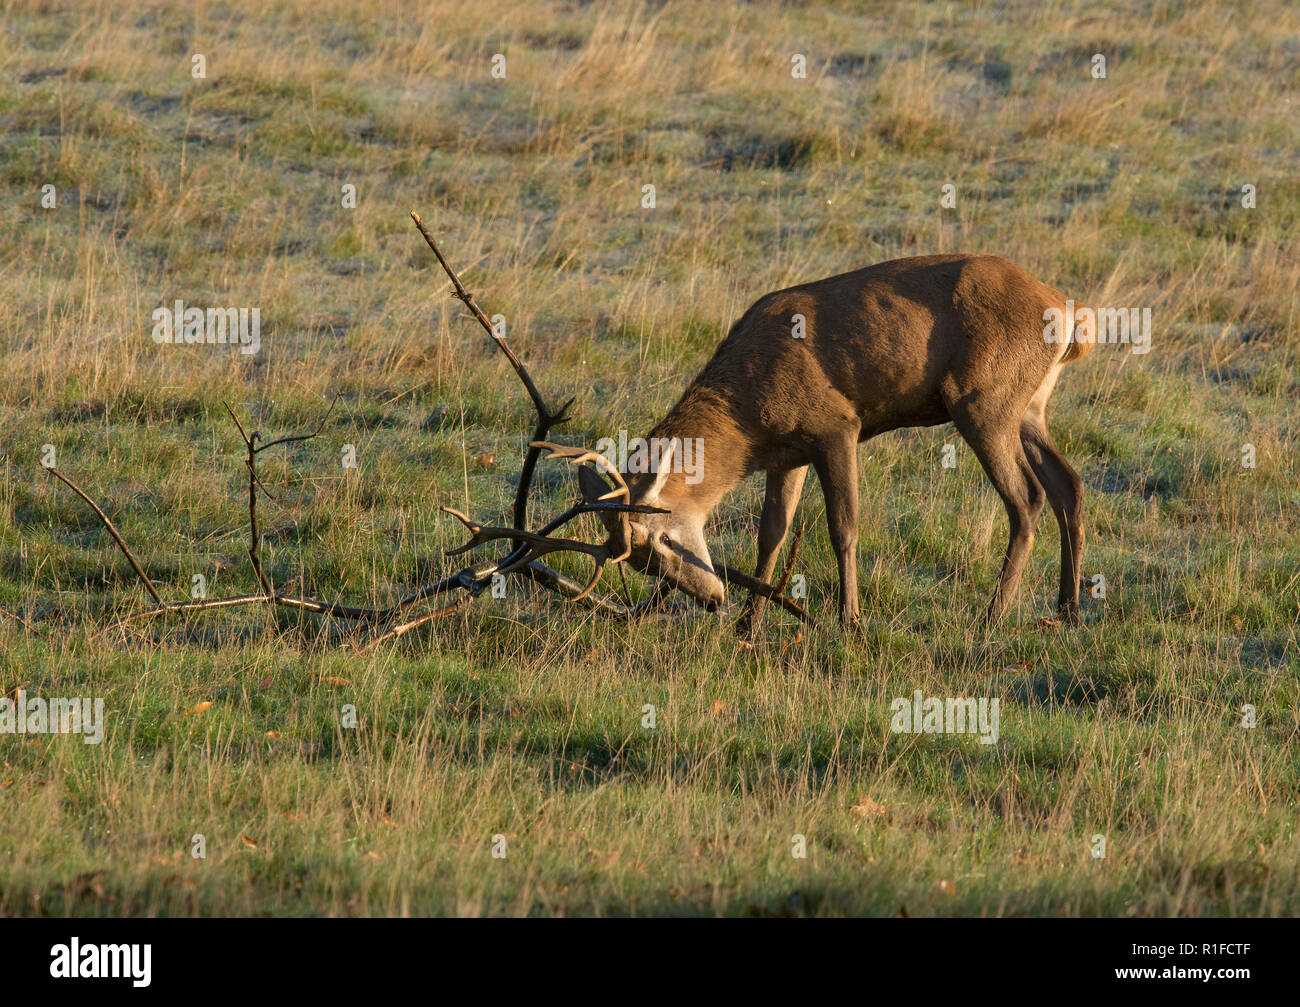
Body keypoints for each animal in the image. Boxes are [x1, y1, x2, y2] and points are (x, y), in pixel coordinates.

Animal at [573, 253, 1092, 627]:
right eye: (640, 564)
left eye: (661, 538)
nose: (711, 598)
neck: (748, 421)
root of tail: (1070, 316)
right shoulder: (788, 455)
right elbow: (772, 533)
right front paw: (750, 622)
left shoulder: (837, 426)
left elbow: (843, 526)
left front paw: (849, 620)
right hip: (1029, 407)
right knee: (1068, 483)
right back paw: (1067, 609)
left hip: (982, 401)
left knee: (1027, 497)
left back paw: (992, 616)